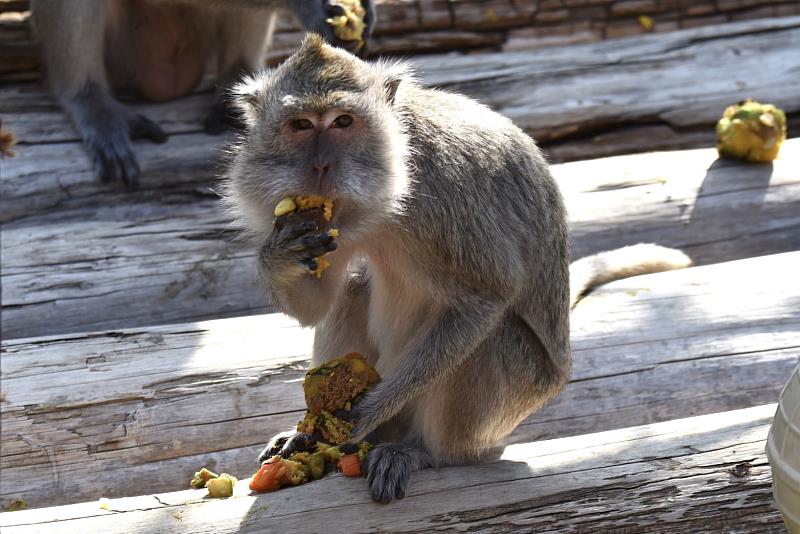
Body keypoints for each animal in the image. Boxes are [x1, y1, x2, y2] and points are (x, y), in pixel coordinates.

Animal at [222, 35, 692, 504]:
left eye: (343, 121)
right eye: (301, 125)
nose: (320, 166)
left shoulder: (446, 191)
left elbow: (487, 296)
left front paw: (370, 409)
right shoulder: (327, 218)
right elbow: (315, 306)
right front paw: (279, 253)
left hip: (513, 401)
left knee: (491, 336)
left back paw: (426, 453)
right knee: (354, 288)